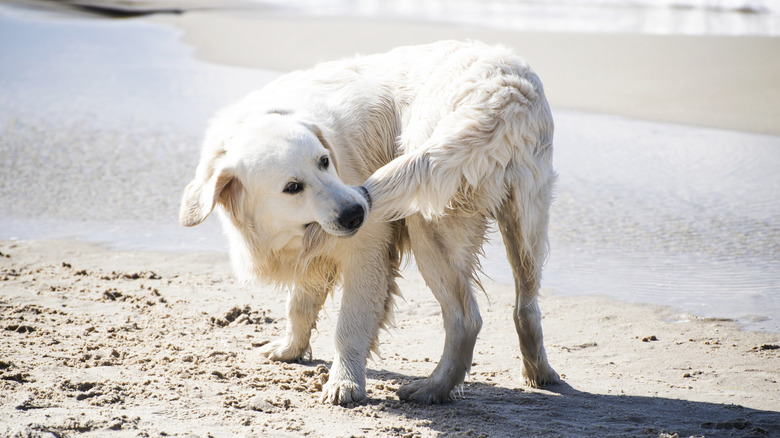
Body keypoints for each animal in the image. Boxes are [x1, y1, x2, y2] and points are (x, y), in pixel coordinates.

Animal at [181, 40, 560, 404]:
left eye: (324, 161)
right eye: (292, 187)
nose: (356, 212)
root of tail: (504, 92)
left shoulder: (367, 250)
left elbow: (349, 325)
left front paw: (345, 382)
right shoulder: (312, 253)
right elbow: (299, 305)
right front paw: (290, 349)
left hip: (428, 222)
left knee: (466, 319)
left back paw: (432, 389)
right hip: (525, 223)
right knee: (526, 307)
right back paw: (539, 373)